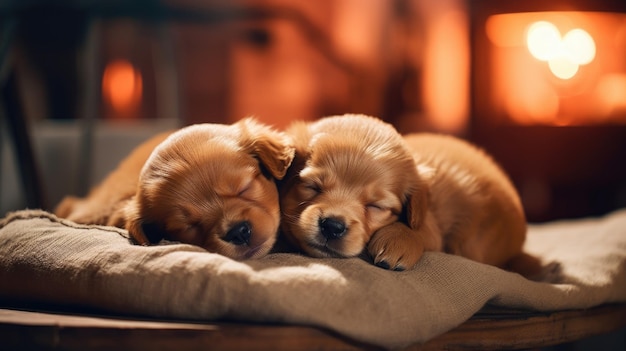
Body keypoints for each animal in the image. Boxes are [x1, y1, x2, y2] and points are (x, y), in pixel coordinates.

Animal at [278, 115, 528, 272]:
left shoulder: (431, 224)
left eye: (375, 206)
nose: (332, 226)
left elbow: (421, 230)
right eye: (312, 186)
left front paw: (399, 241)